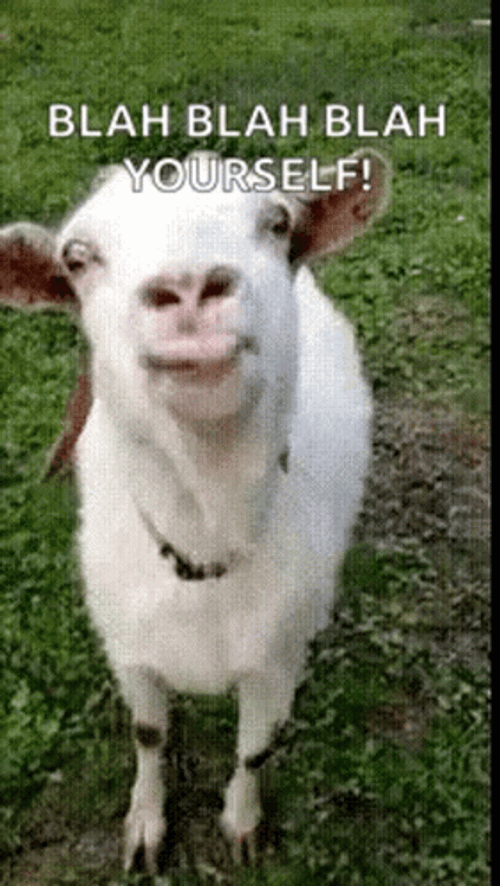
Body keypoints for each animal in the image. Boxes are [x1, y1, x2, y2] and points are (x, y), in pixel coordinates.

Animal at [0, 151, 389, 873]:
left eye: (277, 222)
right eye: (77, 257)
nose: (187, 287)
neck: (207, 536)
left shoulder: (276, 659)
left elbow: (255, 749)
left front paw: (242, 823)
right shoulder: (129, 649)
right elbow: (149, 734)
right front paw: (145, 826)